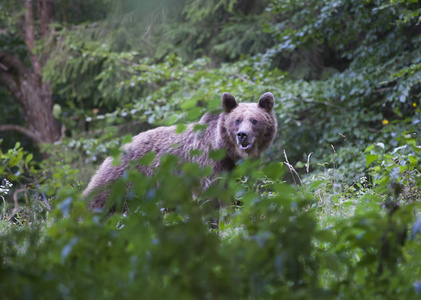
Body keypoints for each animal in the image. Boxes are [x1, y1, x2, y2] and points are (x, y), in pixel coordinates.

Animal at [83, 92, 278, 210]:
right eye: (237, 120)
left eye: (254, 120)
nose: (242, 135)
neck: (225, 150)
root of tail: (113, 152)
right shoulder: (206, 165)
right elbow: (210, 199)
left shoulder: (233, 171)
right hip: (121, 179)